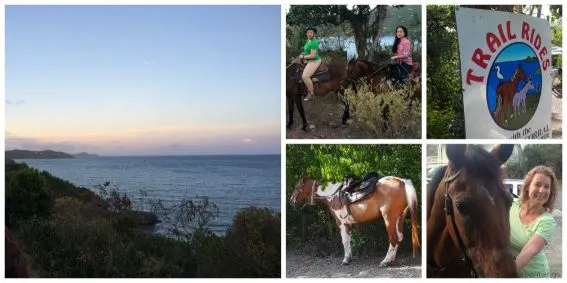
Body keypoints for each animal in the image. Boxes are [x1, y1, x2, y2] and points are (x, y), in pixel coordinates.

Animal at [290, 174, 420, 268]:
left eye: (297, 187)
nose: (291, 201)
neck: (333, 195)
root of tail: (402, 181)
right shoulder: (348, 224)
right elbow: (349, 240)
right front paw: (349, 257)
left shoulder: (341, 223)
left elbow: (344, 241)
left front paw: (346, 259)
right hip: (399, 218)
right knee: (399, 238)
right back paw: (391, 260)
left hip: (389, 218)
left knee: (393, 238)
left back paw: (385, 261)